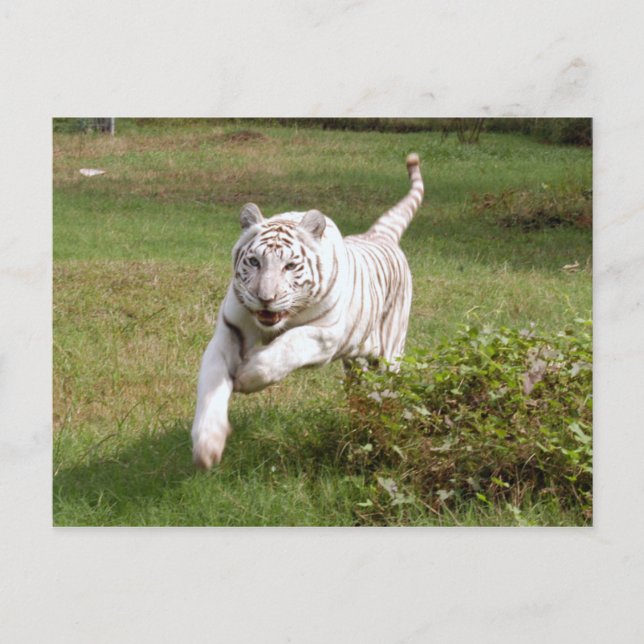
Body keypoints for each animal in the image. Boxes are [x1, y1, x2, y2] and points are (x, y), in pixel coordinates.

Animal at [192, 153, 424, 469]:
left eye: (290, 266)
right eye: (254, 262)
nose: (265, 298)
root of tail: (379, 235)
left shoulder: (325, 336)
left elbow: (286, 347)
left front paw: (247, 376)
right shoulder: (230, 330)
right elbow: (212, 382)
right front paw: (208, 443)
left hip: (390, 354)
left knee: (386, 390)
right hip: (356, 365)